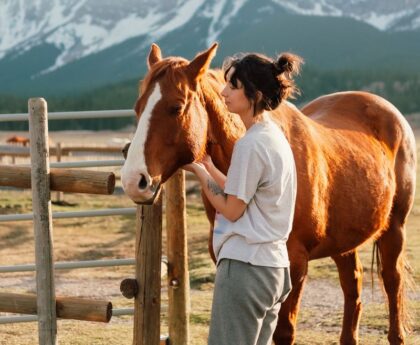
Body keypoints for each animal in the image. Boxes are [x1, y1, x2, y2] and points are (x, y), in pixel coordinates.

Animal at [121, 43, 416, 344]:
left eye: (176, 107)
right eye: (137, 108)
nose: (134, 181)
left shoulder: (294, 264)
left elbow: (283, 331)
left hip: (395, 228)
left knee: (392, 281)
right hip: (345, 239)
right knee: (352, 286)